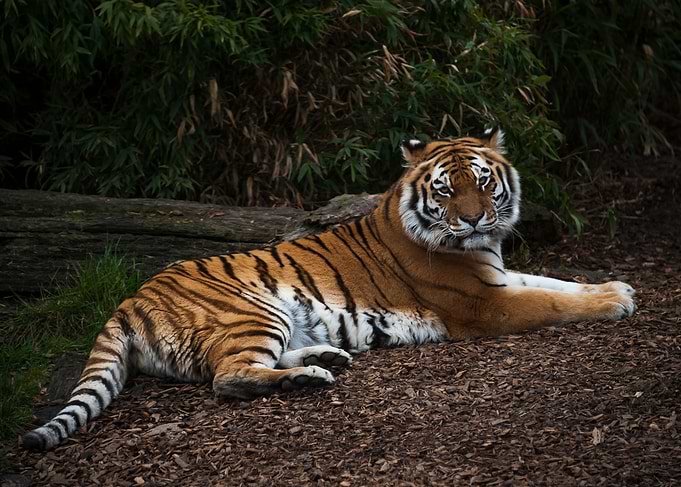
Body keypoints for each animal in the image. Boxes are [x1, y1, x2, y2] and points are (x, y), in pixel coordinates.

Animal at [22, 128, 636, 451]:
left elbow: (558, 282)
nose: (473, 219)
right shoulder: (486, 303)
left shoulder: (501, 277)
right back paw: (310, 377)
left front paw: (615, 285)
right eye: (446, 189)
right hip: (255, 310)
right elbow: (551, 300)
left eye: (484, 182)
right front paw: (617, 300)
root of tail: (128, 299)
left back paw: (326, 357)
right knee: (227, 377)